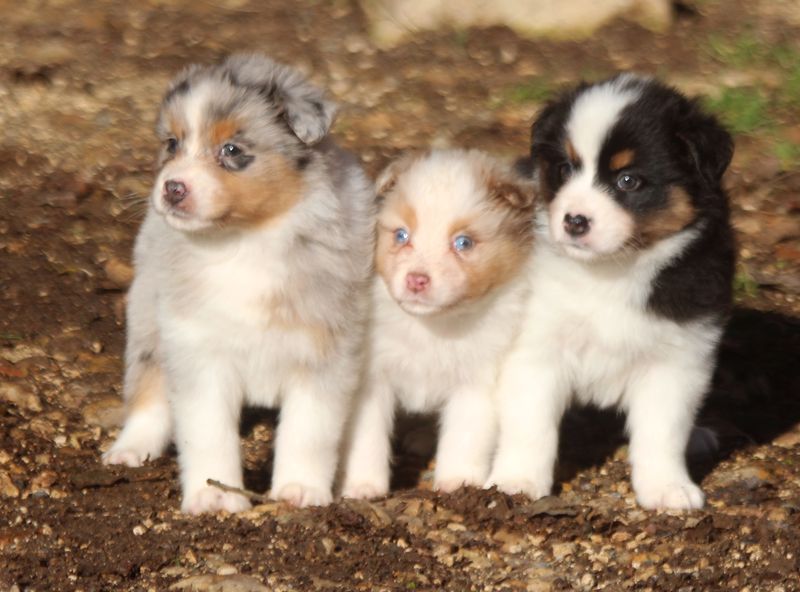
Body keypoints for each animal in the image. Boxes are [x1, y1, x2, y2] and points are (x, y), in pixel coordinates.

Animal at [484, 74, 736, 508]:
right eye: (565, 168)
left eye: (628, 180)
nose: (574, 221)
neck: (613, 270)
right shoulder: (536, 345)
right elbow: (530, 423)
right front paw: (516, 481)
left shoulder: (678, 357)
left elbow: (662, 431)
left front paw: (667, 489)